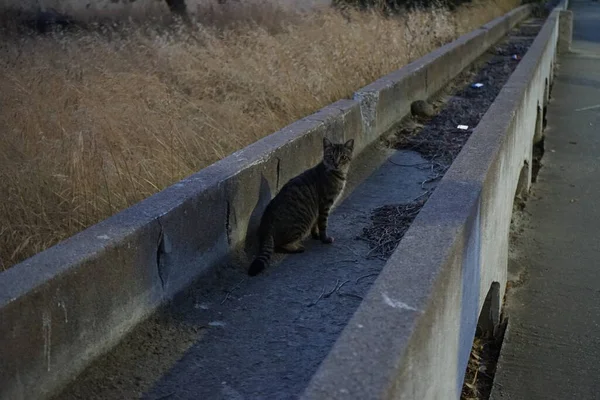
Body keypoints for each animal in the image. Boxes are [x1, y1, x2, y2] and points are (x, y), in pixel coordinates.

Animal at [246, 137, 354, 276]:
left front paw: (316, 235)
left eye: (343, 157)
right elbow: (323, 225)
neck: (337, 174)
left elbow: (316, 224)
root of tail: (266, 227)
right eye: (331, 156)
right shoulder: (324, 205)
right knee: (280, 245)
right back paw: (298, 248)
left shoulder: (318, 210)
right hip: (301, 222)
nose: (336, 164)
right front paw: (324, 239)